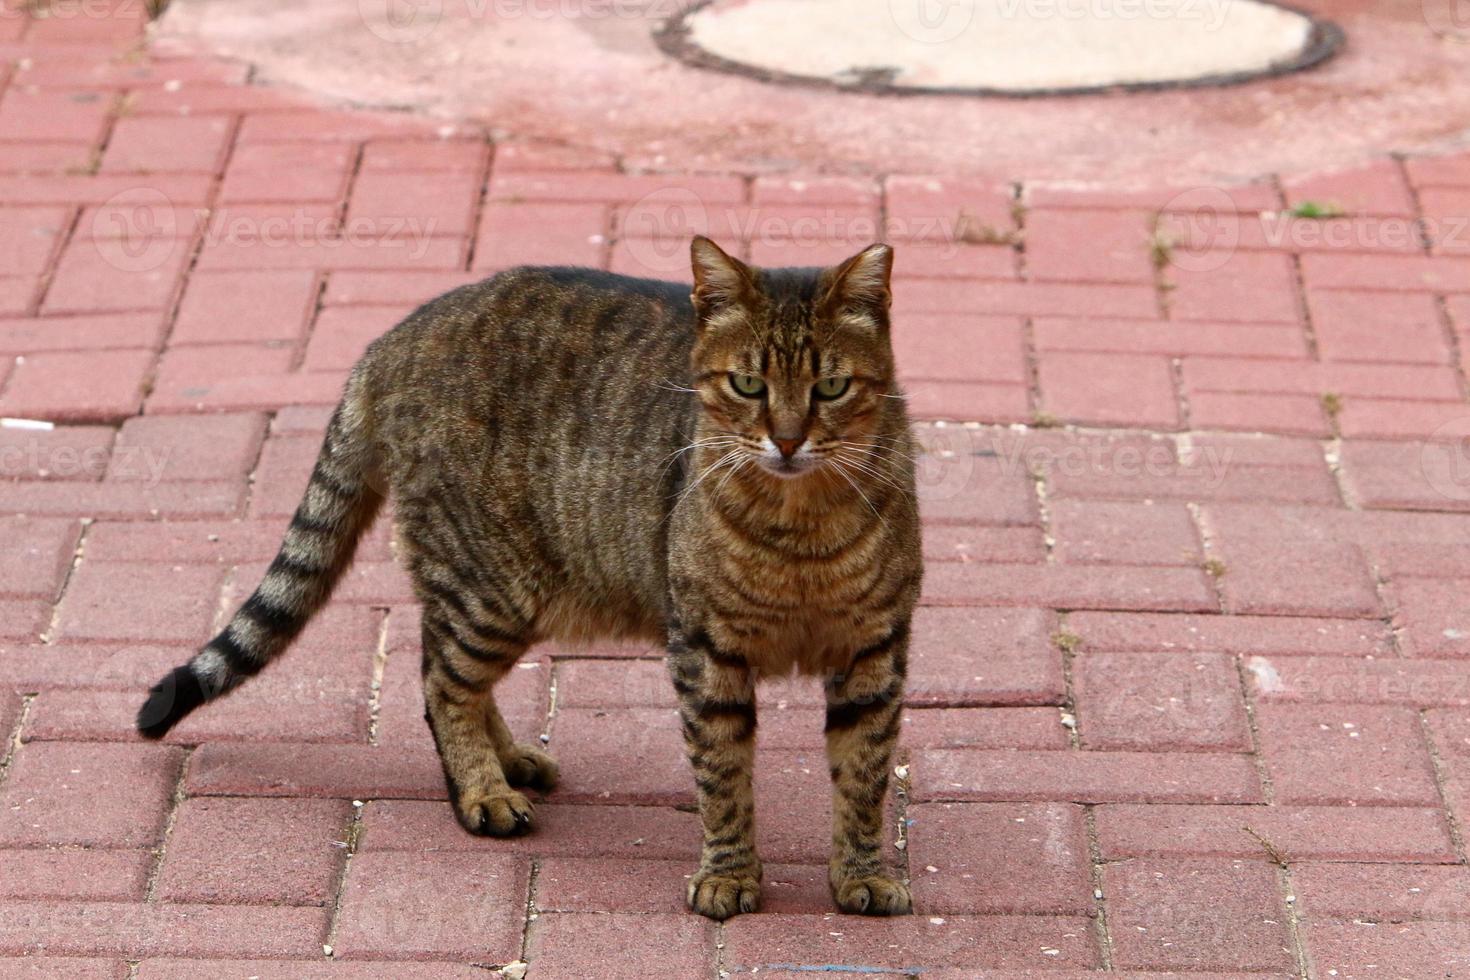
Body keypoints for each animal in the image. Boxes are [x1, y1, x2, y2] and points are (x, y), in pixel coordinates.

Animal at [135, 238, 917, 922]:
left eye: (831, 387)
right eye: (748, 384)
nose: (786, 440)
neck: (801, 531)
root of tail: (390, 337)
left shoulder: (876, 653)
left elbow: (864, 777)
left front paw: (864, 874)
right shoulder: (706, 653)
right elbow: (724, 777)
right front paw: (728, 875)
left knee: (445, 667)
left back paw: (509, 761)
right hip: (490, 588)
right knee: (440, 681)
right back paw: (483, 790)